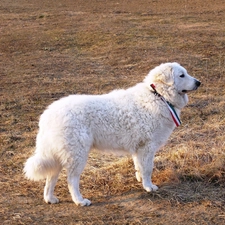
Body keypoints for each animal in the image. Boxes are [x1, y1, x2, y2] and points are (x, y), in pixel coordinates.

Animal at [24, 62, 200, 207]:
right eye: (182, 75)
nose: (199, 82)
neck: (158, 95)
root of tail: (48, 115)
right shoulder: (147, 147)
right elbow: (148, 169)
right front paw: (149, 187)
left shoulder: (139, 148)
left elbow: (139, 167)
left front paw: (141, 181)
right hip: (77, 154)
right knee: (71, 180)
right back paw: (80, 201)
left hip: (59, 154)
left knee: (51, 178)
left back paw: (50, 199)